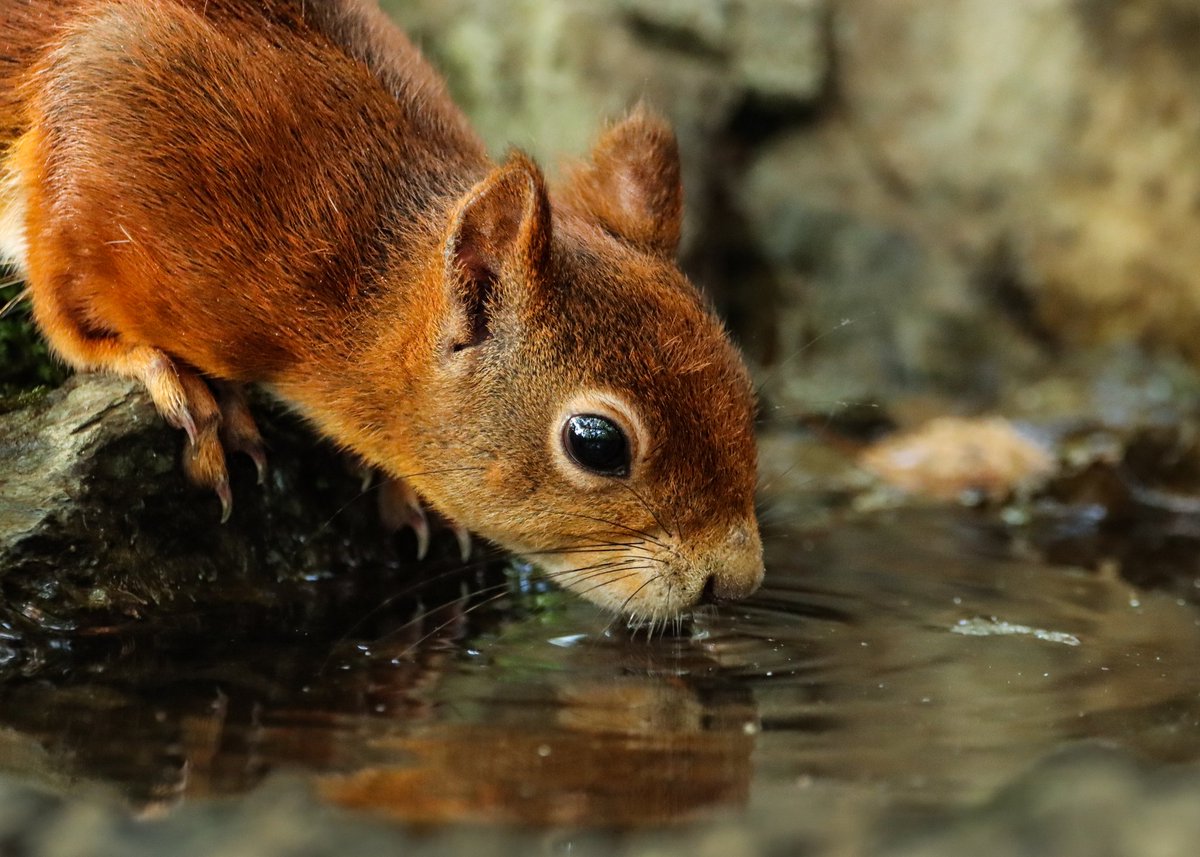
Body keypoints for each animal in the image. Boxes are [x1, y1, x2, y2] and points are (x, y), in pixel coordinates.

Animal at [0, 0, 763, 614]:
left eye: (743, 390)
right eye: (596, 443)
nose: (738, 582)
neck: (356, 286)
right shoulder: (109, 97)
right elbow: (62, 300)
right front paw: (160, 370)